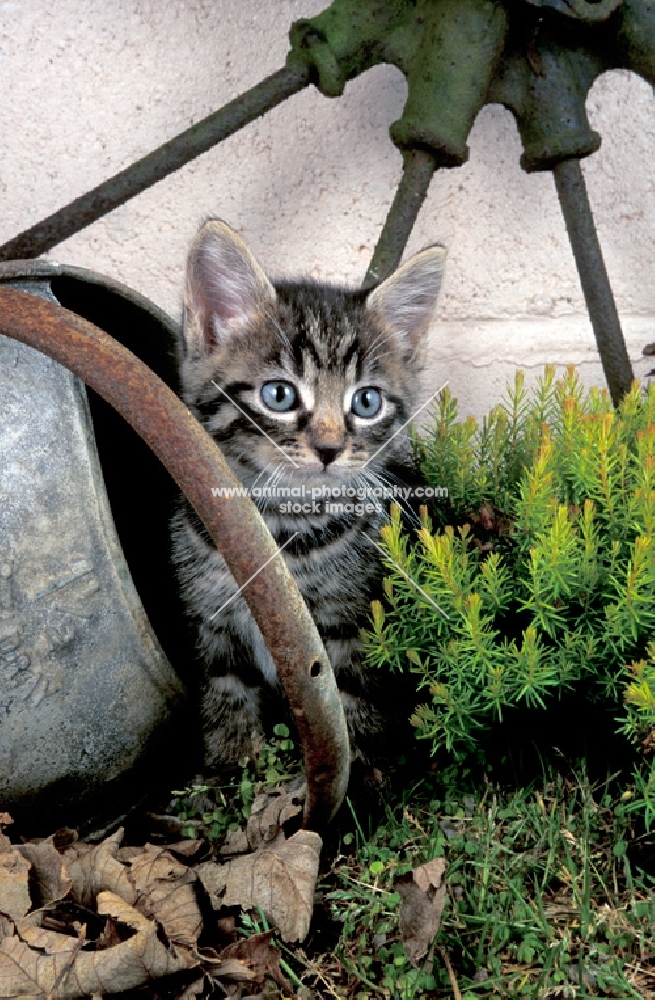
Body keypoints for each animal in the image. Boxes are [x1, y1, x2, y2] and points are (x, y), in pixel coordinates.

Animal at [169, 223, 446, 768]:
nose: (329, 449)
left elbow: (351, 706)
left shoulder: (355, 624)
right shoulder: (210, 619)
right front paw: (232, 766)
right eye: (279, 395)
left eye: (366, 401)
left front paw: (358, 778)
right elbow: (226, 691)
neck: (282, 527)